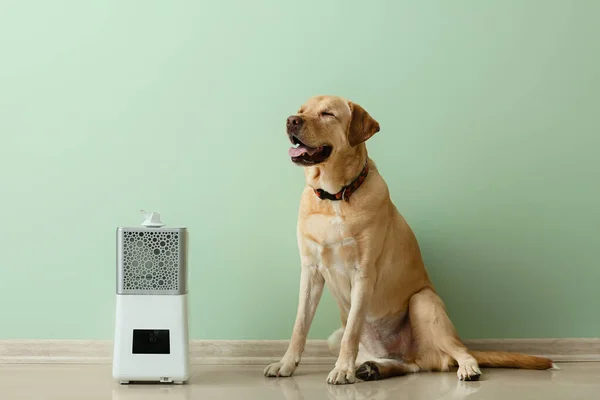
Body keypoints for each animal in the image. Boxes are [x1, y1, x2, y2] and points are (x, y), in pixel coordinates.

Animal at [264, 94, 556, 384]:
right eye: (302, 110)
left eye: (327, 114)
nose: (291, 120)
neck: (335, 196)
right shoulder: (310, 271)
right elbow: (299, 327)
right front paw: (286, 364)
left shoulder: (363, 273)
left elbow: (352, 332)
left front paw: (342, 369)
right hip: (337, 337)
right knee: (412, 365)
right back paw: (374, 368)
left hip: (423, 303)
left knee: (453, 353)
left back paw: (466, 368)